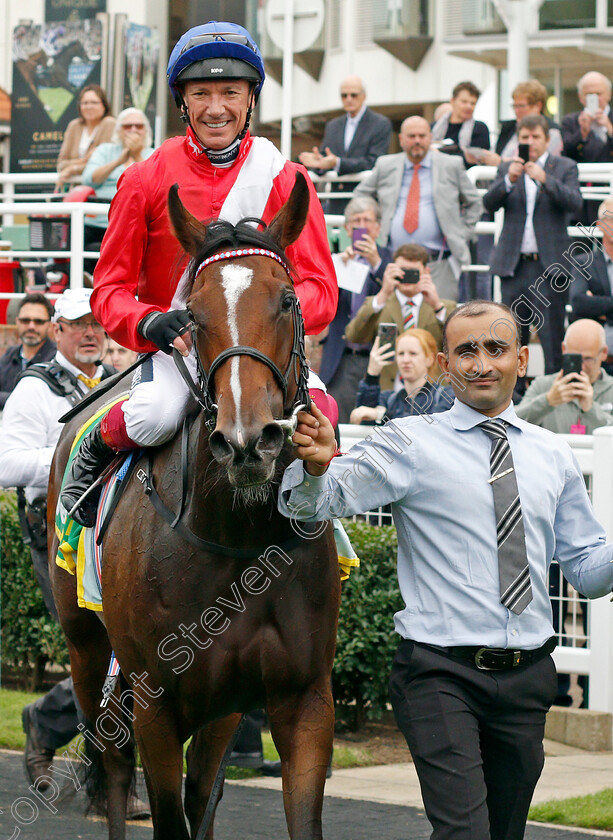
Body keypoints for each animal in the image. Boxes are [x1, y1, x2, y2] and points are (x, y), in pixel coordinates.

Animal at [49, 172, 340, 840]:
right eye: (193, 316)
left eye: (288, 301)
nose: (247, 440)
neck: (238, 536)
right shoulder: (156, 702)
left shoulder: (304, 699)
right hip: (87, 652)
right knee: (112, 765)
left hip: (219, 706)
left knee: (203, 787)